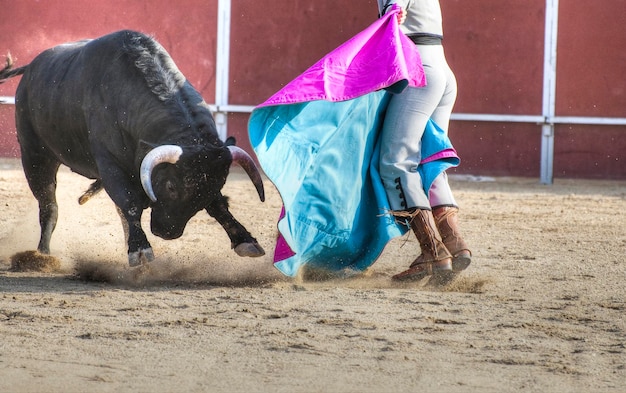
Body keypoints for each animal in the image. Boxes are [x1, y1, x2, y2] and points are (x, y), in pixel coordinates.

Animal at [0, 29, 264, 264]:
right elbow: (129, 202)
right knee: (49, 206)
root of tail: (31, 68)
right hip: (34, 156)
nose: (167, 232)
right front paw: (139, 250)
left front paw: (246, 241)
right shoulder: (110, 165)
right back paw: (41, 256)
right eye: (170, 185)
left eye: (214, 187)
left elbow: (219, 205)